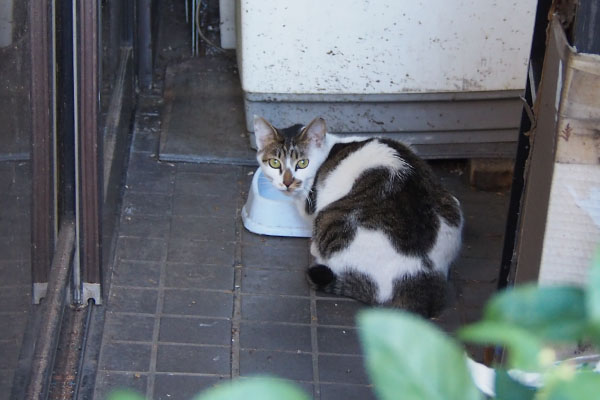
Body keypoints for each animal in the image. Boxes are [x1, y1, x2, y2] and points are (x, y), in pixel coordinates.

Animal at [253, 116, 464, 318]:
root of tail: (420, 276)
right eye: (274, 163)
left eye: (303, 163)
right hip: (452, 203)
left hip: (333, 223)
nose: (287, 182)